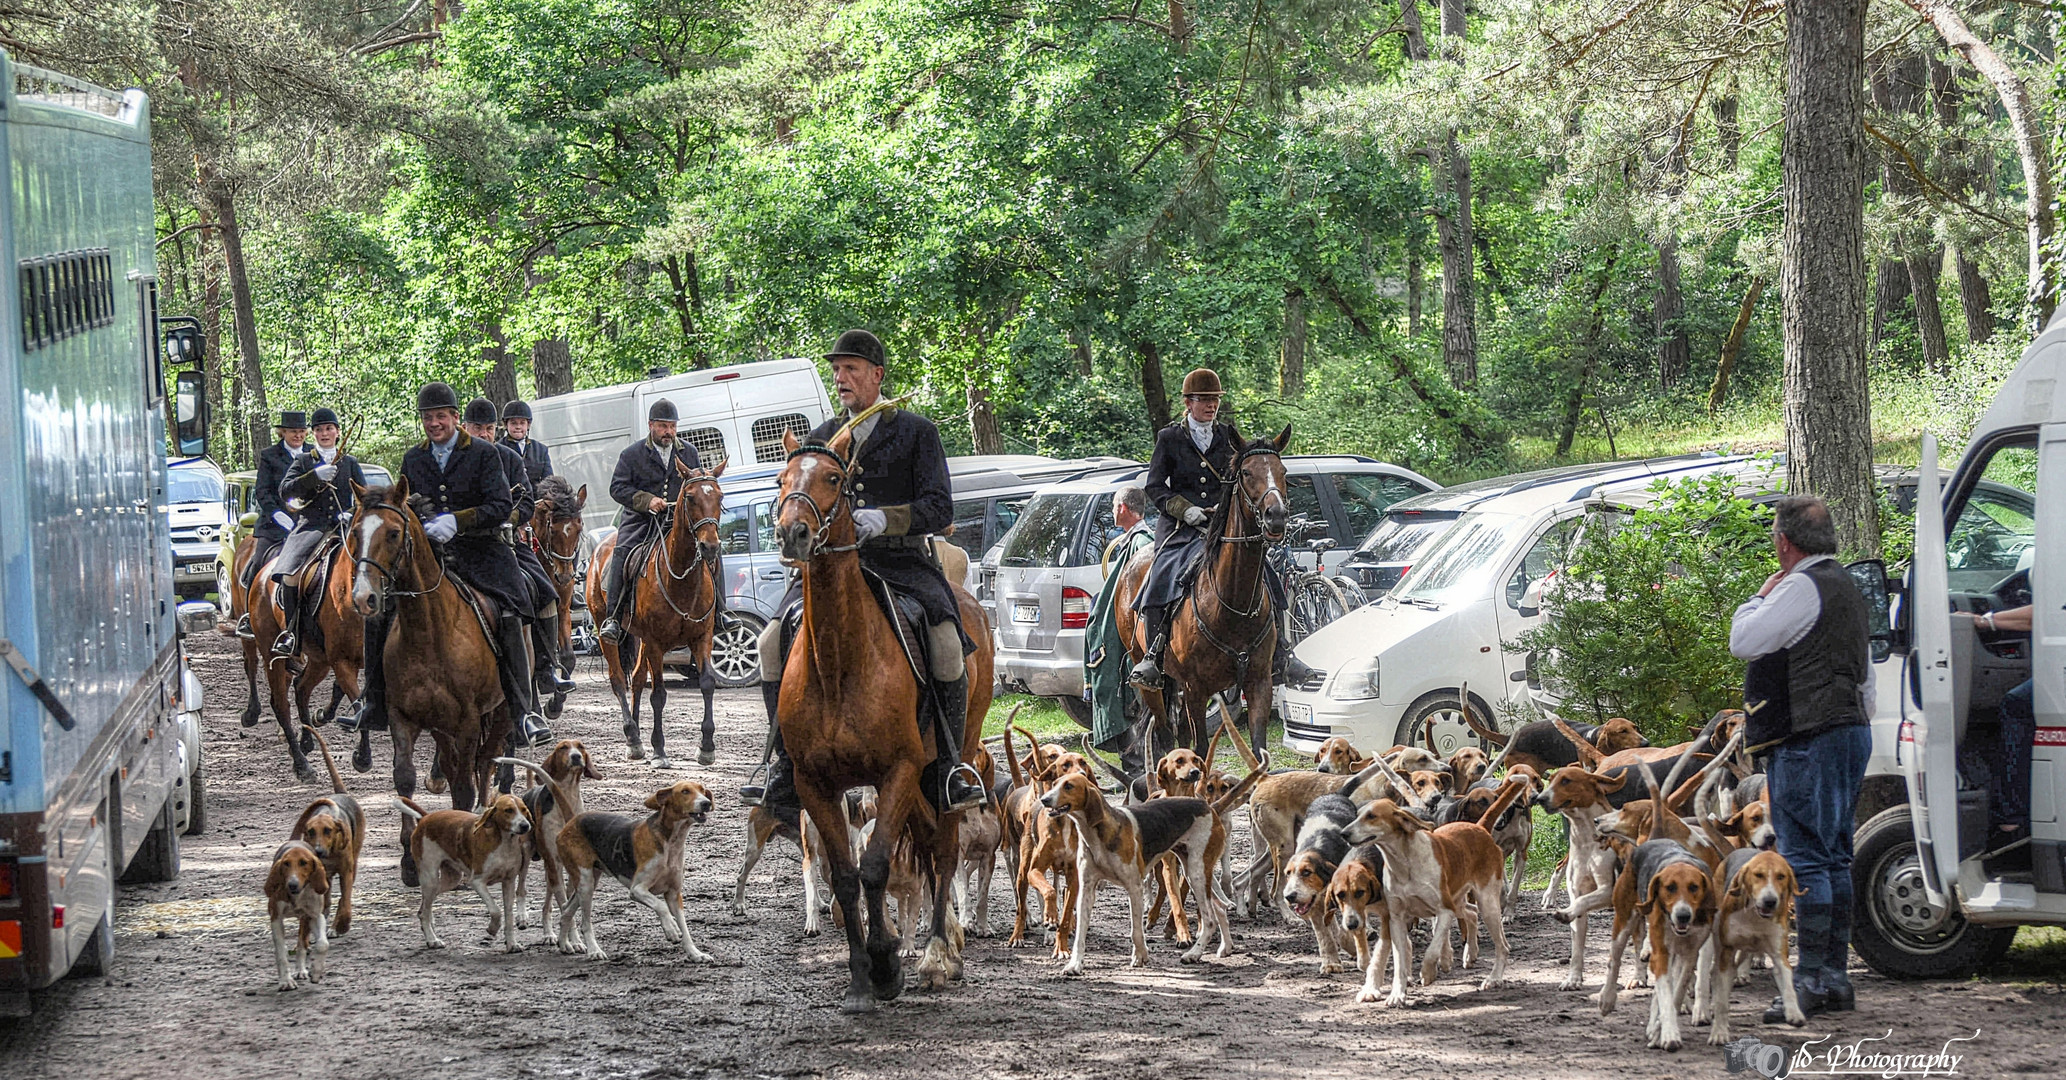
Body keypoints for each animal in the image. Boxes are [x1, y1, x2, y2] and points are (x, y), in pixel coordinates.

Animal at [349, 483, 514, 887]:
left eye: (394, 533)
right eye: (356, 533)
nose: (364, 598)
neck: (428, 630)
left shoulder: (469, 720)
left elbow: (466, 784)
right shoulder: (403, 717)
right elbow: (405, 779)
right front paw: (409, 861)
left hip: (502, 711)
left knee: (485, 760)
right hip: (441, 726)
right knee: (455, 765)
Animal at [586, 456, 731, 768]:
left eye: (720, 496)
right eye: (690, 497)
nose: (710, 546)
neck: (681, 578)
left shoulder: (702, 637)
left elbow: (707, 684)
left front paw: (706, 747)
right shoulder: (655, 643)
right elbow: (660, 695)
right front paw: (660, 749)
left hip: (640, 638)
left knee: (638, 678)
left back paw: (637, 737)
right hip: (608, 629)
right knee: (619, 679)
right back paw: (633, 736)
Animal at [776, 427, 999, 1020]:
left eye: (835, 479)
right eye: (782, 479)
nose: (793, 533)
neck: (839, 661)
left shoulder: (895, 771)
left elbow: (875, 867)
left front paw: (886, 966)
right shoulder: (815, 783)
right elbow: (847, 878)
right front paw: (860, 979)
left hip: (945, 763)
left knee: (943, 846)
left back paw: (941, 955)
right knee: (925, 841)